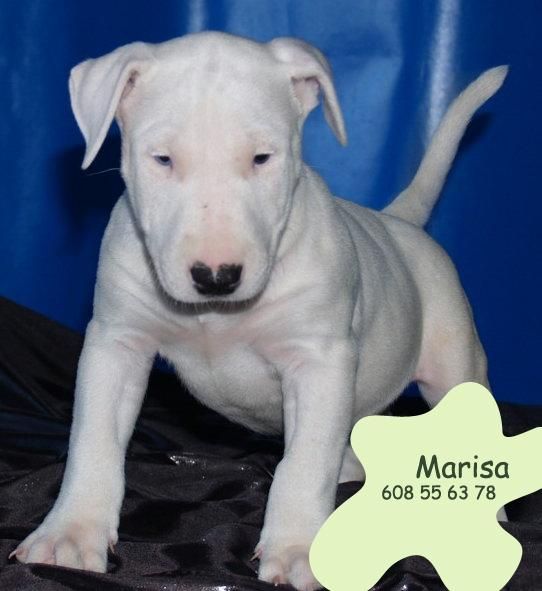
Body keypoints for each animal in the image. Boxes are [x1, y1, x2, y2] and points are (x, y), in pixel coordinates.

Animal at [11, 32, 506, 591]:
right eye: (162, 159)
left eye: (263, 158)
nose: (216, 276)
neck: (218, 314)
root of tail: (399, 224)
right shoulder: (117, 342)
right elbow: (93, 440)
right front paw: (69, 535)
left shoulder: (318, 362)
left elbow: (304, 463)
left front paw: (298, 551)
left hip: (455, 363)